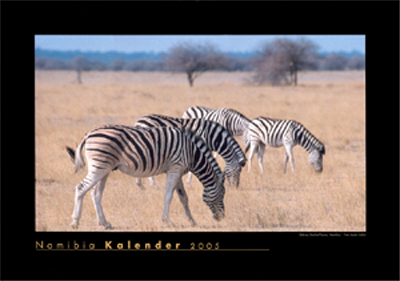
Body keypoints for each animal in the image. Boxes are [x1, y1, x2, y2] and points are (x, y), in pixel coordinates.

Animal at [67, 124, 227, 228]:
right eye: (222, 194)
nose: (222, 217)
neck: (192, 153)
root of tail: (89, 133)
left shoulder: (178, 171)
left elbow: (183, 198)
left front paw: (192, 221)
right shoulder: (175, 168)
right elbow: (169, 196)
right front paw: (167, 221)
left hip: (104, 169)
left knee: (96, 194)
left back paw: (104, 223)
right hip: (99, 167)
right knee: (81, 188)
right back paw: (75, 222)